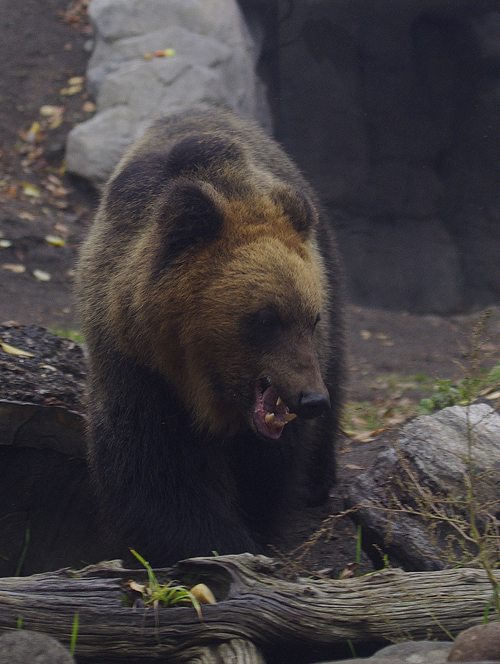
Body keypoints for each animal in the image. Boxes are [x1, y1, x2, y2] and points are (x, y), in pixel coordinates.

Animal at [77, 106, 344, 564]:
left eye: (310, 318)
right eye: (265, 318)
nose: (311, 399)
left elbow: (268, 473)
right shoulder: (139, 371)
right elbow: (158, 480)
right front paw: (224, 544)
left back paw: (319, 479)